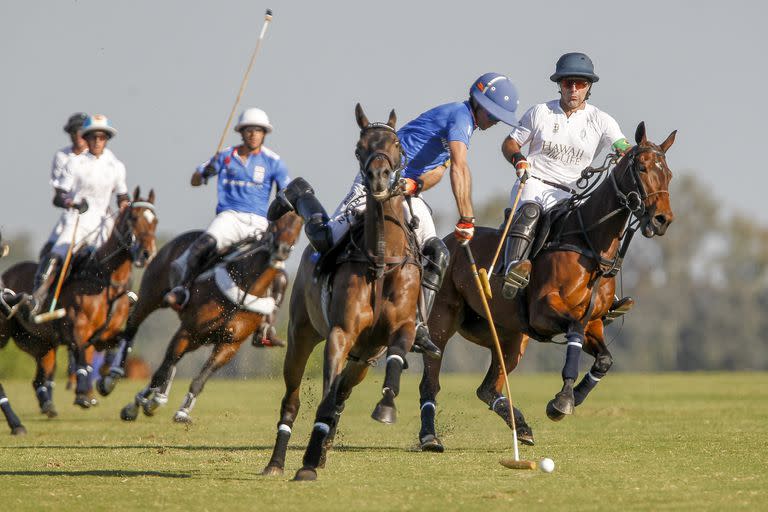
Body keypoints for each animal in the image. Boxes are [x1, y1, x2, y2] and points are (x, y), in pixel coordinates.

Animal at [0, 188, 158, 416]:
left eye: (155, 221)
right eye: (134, 218)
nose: (147, 253)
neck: (105, 280)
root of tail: (7, 273)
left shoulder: (104, 335)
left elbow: (120, 344)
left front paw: (107, 382)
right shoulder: (77, 328)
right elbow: (82, 357)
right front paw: (84, 394)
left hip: (39, 342)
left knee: (40, 377)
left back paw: (48, 405)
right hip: (9, 335)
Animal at [117, 212, 304, 424]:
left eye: (299, 224)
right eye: (277, 222)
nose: (282, 250)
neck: (245, 287)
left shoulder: (229, 345)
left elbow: (198, 380)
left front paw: (182, 412)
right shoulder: (187, 331)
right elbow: (161, 372)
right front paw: (137, 405)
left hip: (200, 339)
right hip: (151, 296)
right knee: (133, 327)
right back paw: (113, 378)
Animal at [262, 104, 420, 480]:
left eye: (396, 144)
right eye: (360, 148)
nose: (378, 178)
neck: (381, 259)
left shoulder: (401, 328)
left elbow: (397, 356)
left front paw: (386, 406)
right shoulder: (340, 333)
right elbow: (326, 397)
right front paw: (307, 463)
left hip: (363, 358)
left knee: (344, 393)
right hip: (301, 334)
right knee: (293, 399)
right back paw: (277, 462)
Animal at [416, 122, 676, 450]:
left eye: (669, 174)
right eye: (642, 168)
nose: (663, 219)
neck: (589, 245)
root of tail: (447, 240)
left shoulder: (593, 322)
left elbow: (605, 359)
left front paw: (573, 397)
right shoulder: (544, 310)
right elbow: (574, 333)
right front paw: (562, 401)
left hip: (511, 337)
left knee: (487, 388)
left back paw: (523, 428)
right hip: (442, 321)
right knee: (430, 381)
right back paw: (429, 436)